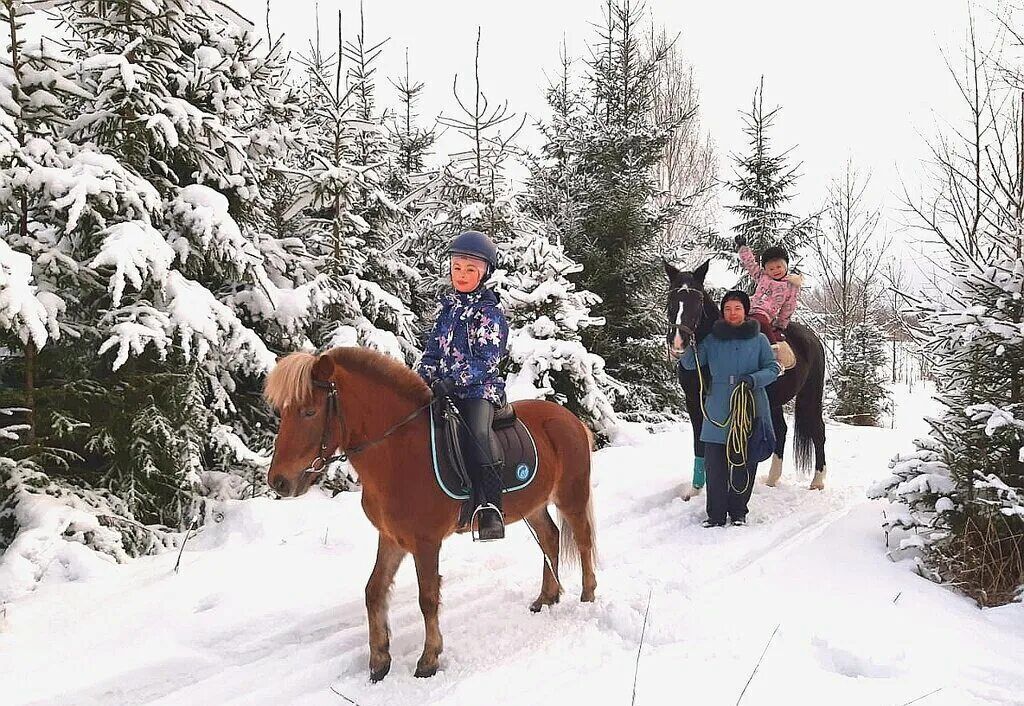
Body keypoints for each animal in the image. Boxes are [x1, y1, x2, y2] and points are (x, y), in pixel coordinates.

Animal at [264, 346, 598, 676]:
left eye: (309, 411)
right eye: (283, 411)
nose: (278, 482)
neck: (397, 452)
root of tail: (570, 418)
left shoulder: (426, 543)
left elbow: (427, 597)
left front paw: (429, 659)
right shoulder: (392, 538)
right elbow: (374, 590)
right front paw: (379, 660)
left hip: (571, 495)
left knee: (582, 540)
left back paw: (588, 595)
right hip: (533, 504)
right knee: (550, 537)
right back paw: (547, 597)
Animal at [667, 259, 827, 489]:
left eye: (697, 300)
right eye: (671, 298)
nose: (678, 341)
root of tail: (813, 338)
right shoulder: (694, 403)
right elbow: (699, 443)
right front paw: (696, 488)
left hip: (810, 396)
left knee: (818, 432)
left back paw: (817, 481)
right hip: (774, 400)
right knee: (781, 430)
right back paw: (772, 479)